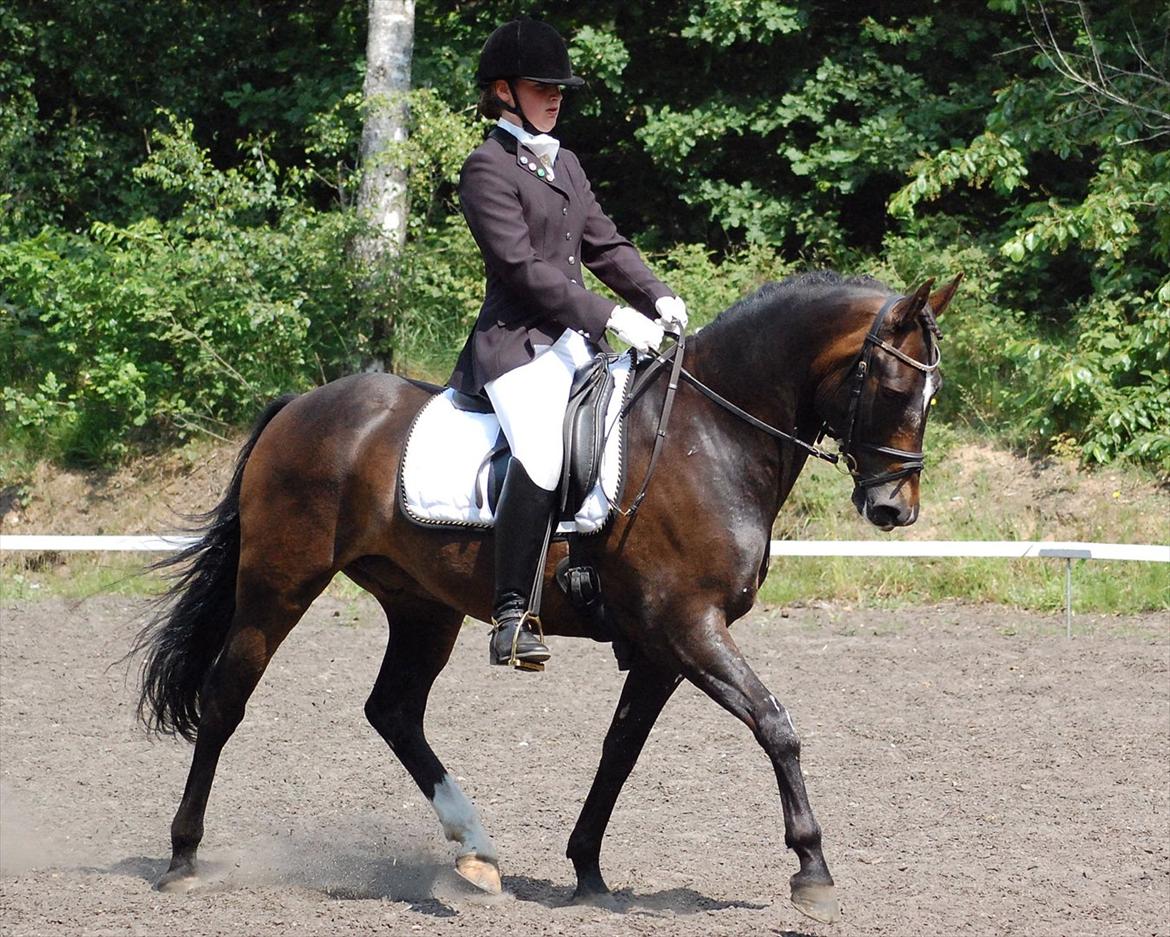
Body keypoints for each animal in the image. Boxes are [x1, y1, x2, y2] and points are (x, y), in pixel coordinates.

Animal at [132, 270, 960, 924]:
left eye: (933, 390)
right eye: (892, 386)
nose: (895, 508)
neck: (711, 436)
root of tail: (303, 404)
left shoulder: (662, 646)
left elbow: (619, 750)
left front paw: (587, 870)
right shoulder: (690, 625)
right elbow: (775, 724)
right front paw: (812, 869)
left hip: (422, 606)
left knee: (393, 710)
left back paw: (476, 853)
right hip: (278, 585)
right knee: (226, 698)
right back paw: (182, 858)